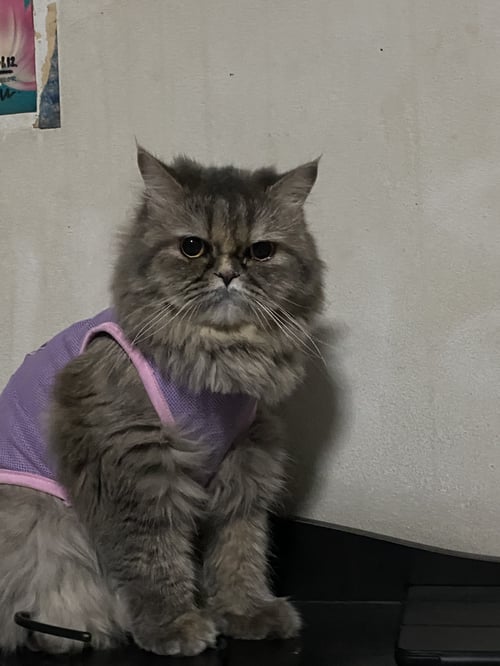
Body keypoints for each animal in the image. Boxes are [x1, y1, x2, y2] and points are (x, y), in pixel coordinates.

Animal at [0, 147, 324, 656]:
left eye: (261, 252)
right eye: (193, 247)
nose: (228, 274)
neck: (220, 362)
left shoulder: (245, 462)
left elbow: (239, 551)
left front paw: (245, 612)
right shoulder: (135, 463)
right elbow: (152, 557)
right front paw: (173, 626)